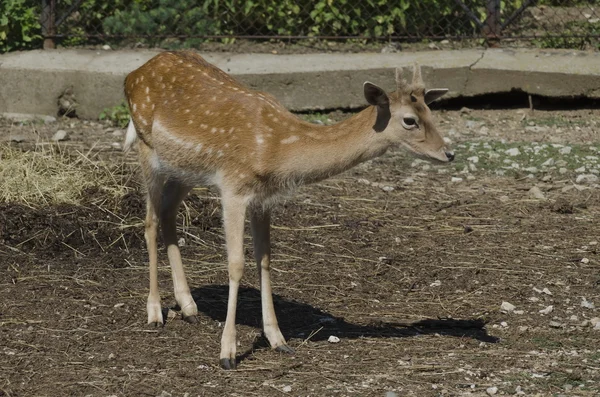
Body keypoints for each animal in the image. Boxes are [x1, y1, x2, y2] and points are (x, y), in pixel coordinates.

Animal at [123, 49, 454, 368]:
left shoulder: (263, 198)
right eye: (410, 120)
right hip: (147, 148)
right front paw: (228, 353)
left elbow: (265, 259)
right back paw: (155, 312)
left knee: (167, 214)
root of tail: (133, 74)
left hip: (185, 170)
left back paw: (189, 307)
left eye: (431, 112)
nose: (448, 153)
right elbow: (236, 264)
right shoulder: (233, 187)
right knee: (150, 222)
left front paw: (278, 340)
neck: (277, 149)